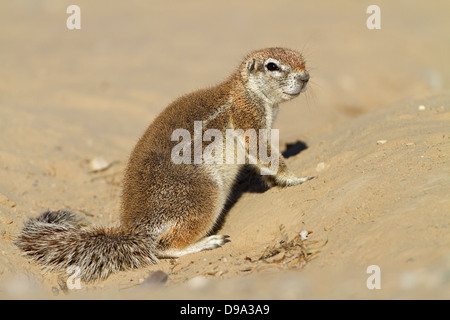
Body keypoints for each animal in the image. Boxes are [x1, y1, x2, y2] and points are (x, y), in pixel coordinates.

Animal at [14, 47, 310, 280]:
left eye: (302, 58)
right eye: (272, 66)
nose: (305, 77)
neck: (246, 90)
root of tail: (136, 230)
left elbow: (264, 162)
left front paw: (275, 181)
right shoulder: (247, 118)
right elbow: (265, 154)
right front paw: (298, 177)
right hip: (202, 194)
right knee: (164, 247)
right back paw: (205, 242)